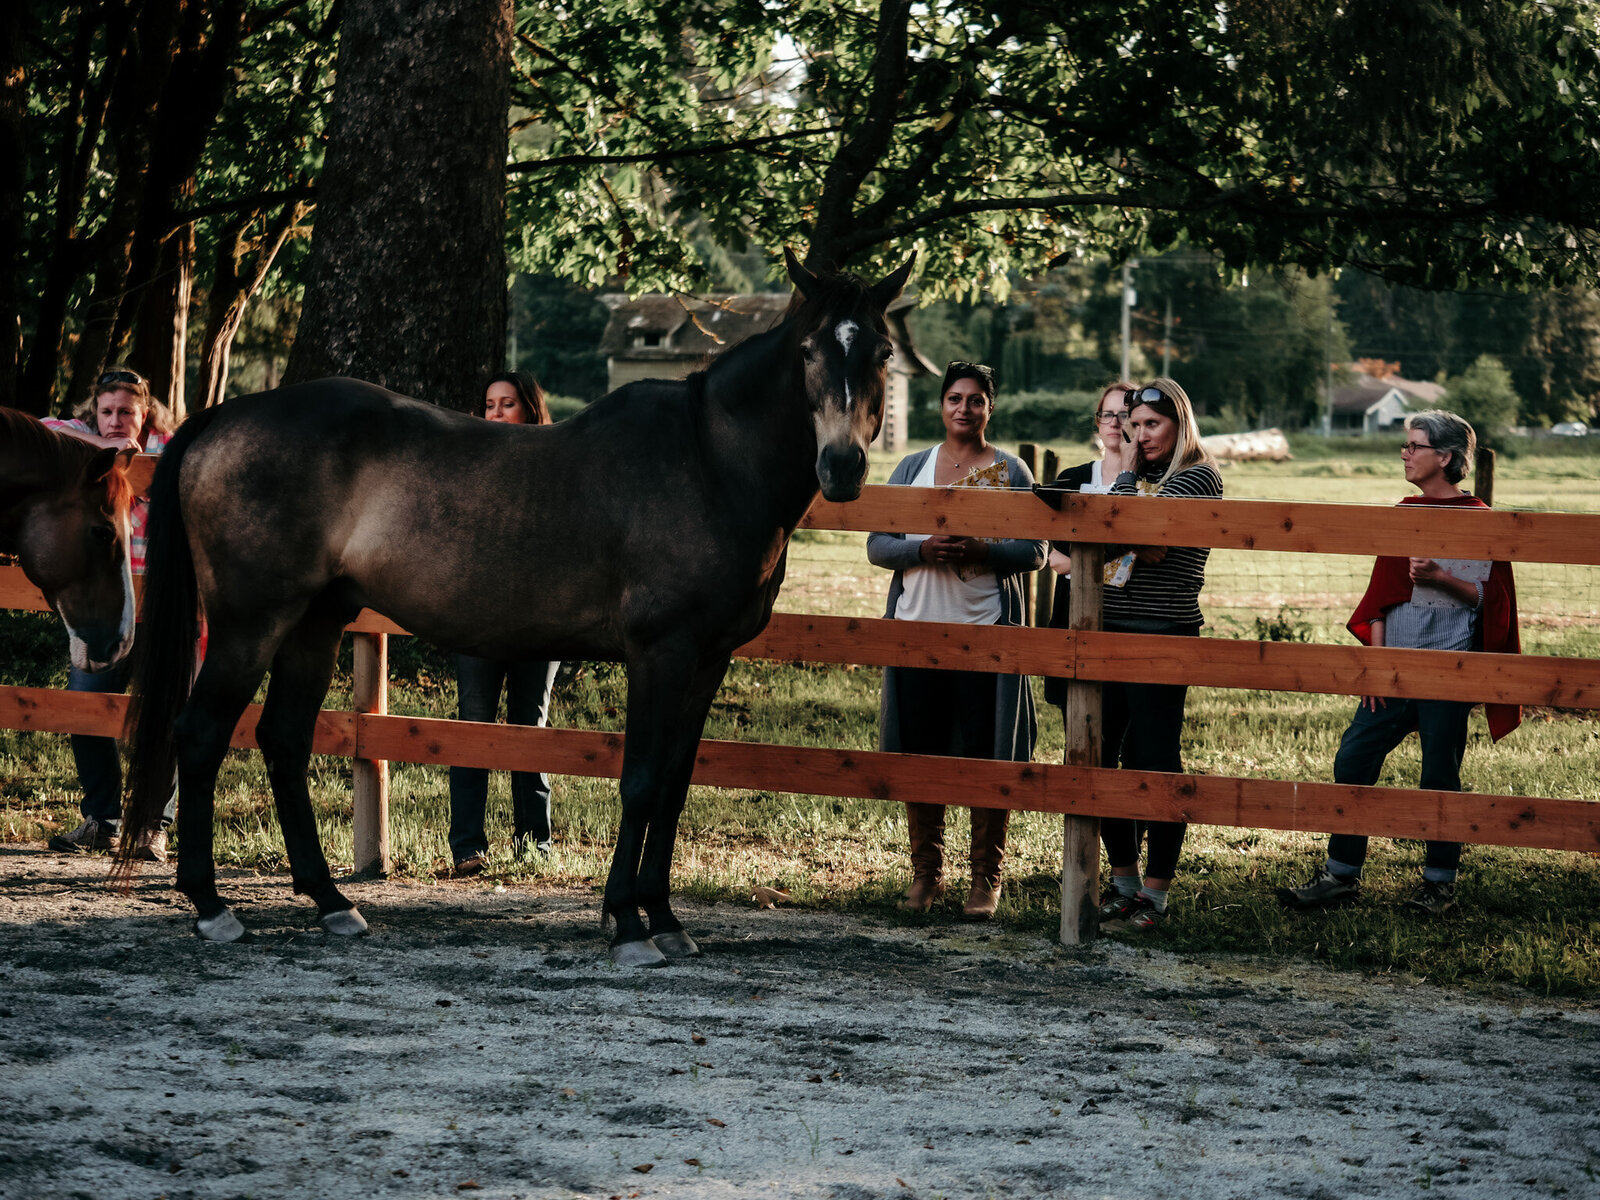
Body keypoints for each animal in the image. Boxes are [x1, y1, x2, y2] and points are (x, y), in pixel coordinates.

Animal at [124, 251, 915, 966]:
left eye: (880, 351)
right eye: (809, 350)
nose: (843, 466)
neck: (709, 462)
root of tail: (223, 417)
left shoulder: (708, 661)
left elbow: (675, 786)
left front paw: (663, 918)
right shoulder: (660, 654)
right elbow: (641, 781)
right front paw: (629, 926)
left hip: (312, 626)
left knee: (284, 741)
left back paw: (331, 903)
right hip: (247, 626)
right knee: (200, 734)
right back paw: (212, 907)